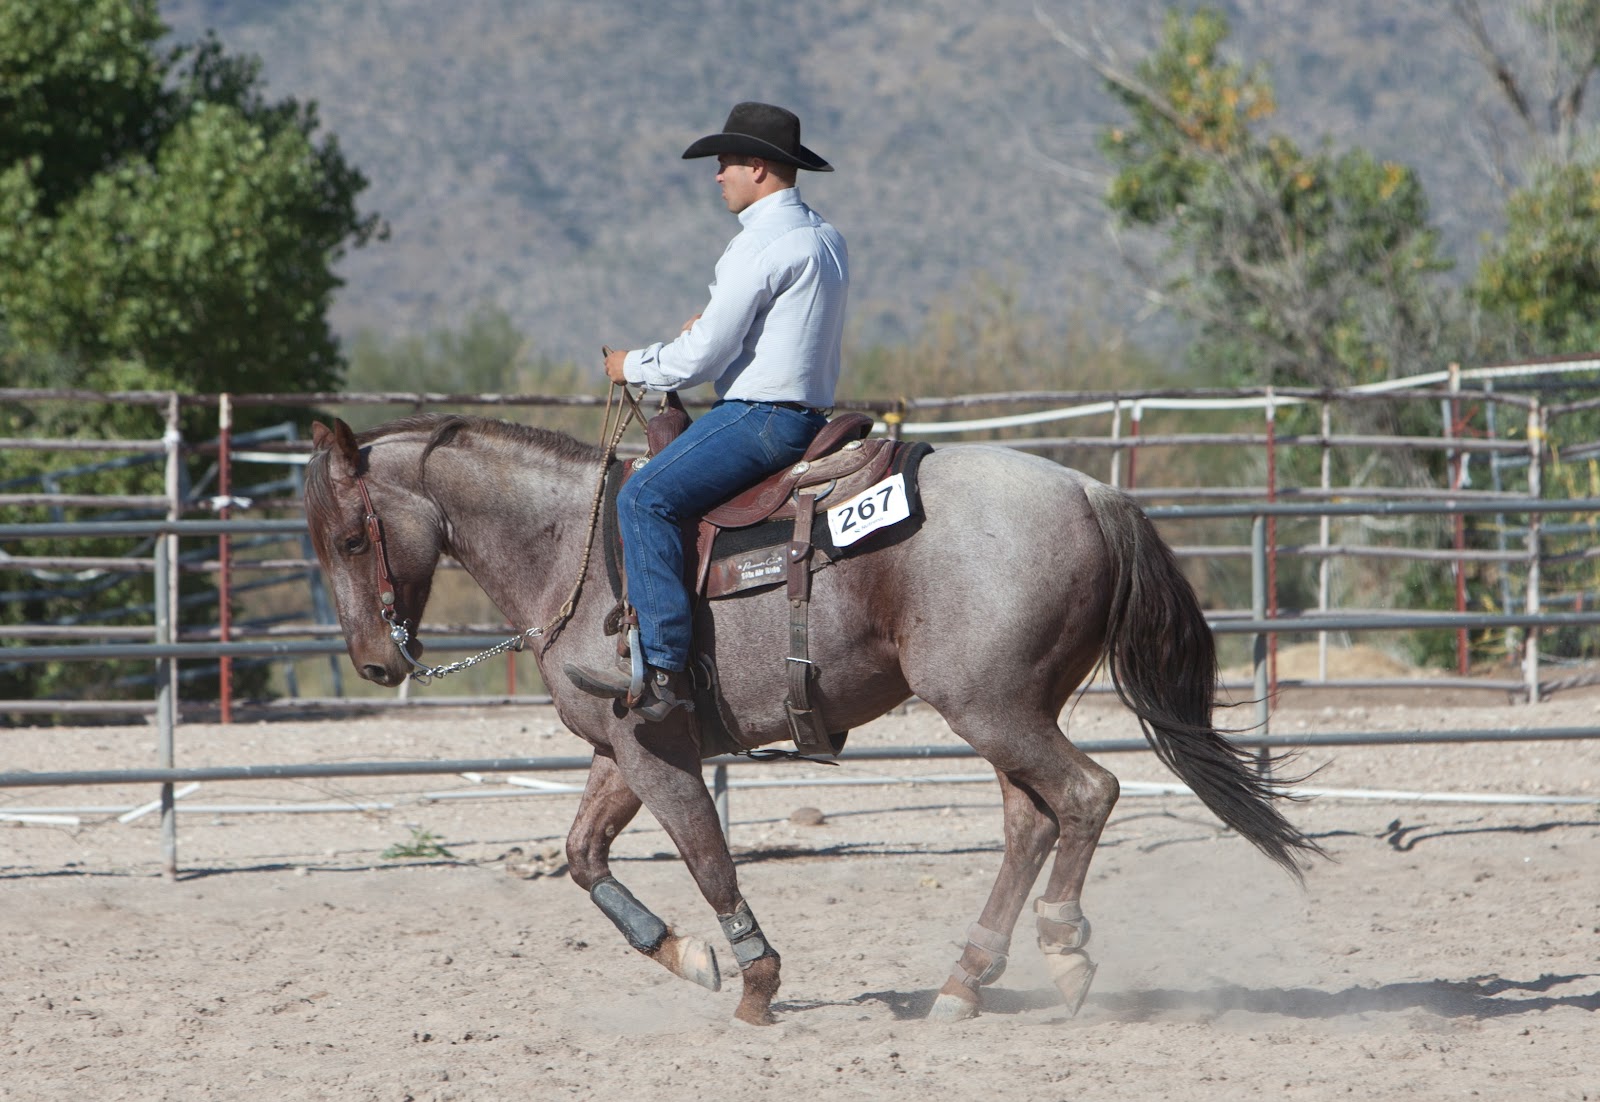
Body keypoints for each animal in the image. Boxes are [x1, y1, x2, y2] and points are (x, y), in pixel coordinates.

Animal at [302, 410, 1322, 1025]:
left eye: (352, 538)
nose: (375, 661)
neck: (575, 552)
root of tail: (1092, 491)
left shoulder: (652, 744)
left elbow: (708, 856)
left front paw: (754, 981)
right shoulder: (620, 748)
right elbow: (583, 856)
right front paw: (687, 956)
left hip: (993, 708)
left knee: (1086, 794)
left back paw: (1065, 955)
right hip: (1009, 708)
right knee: (1032, 820)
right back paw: (965, 982)